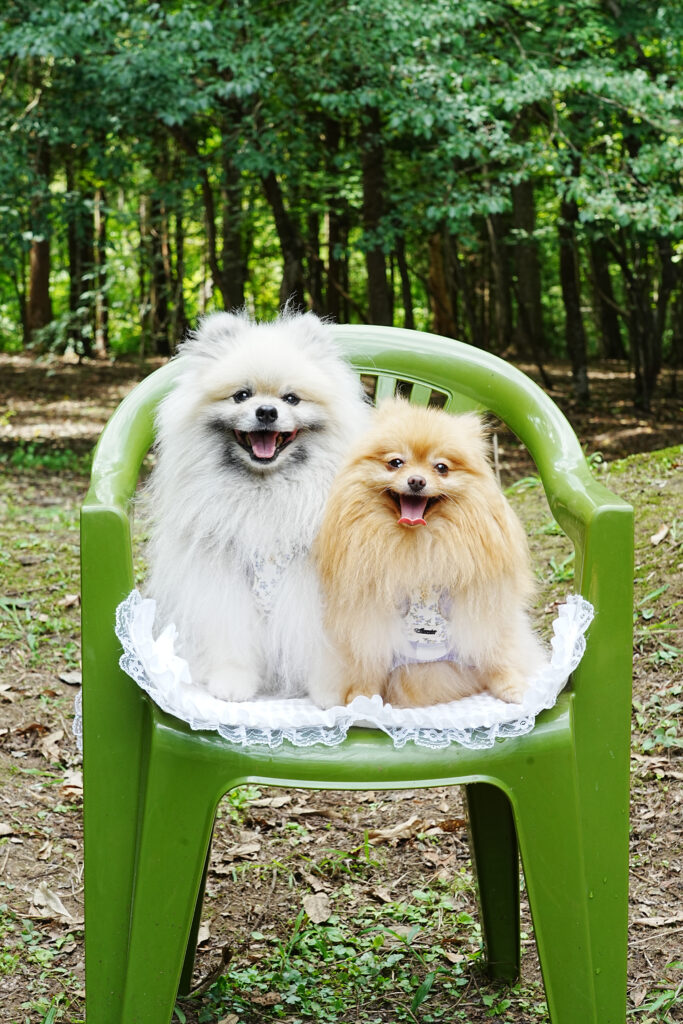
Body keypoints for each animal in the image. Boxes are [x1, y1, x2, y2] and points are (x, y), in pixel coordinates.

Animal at [143, 308, 369, 701]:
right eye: (241, 396)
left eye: (291, 399)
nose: (266, 411)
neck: (265, 491)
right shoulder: (222, 579)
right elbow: (228, 633)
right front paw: (232, 680)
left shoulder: (311, 587)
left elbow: (318, 642)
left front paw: (329, 690)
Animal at [313, 398, 544, 708]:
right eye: (396, 463)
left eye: (441, 468)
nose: (416, 481)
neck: (419, 543)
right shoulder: (370, 618)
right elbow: (368, 663)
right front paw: (362, 697)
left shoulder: (482, 605)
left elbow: (496, 651)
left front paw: (511, 685)